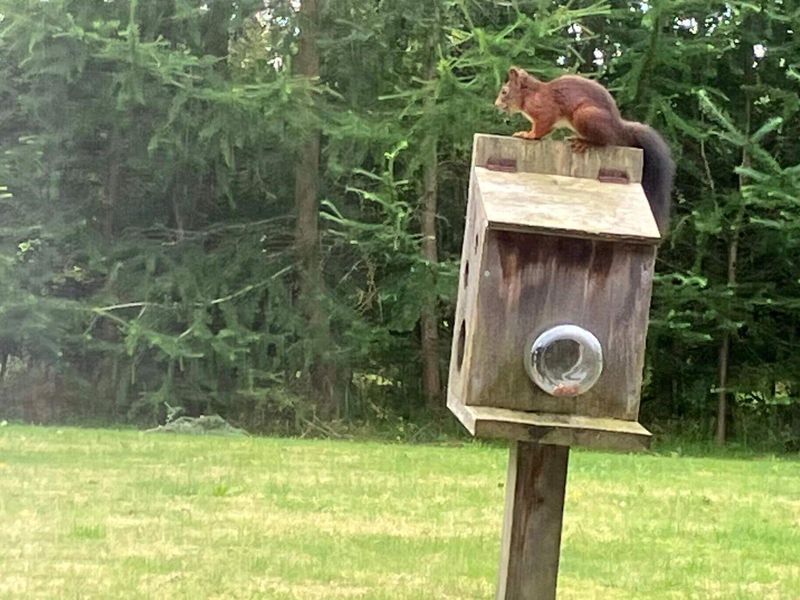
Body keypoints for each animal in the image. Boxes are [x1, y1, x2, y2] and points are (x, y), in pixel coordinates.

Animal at [494, 65, 676, 234]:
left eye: (504, 92)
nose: (496, 104)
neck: (530, 95)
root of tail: (619, 128)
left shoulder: (545, 111)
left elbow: (540, 128)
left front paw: (527, 134)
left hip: (585, 116)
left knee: (605, 141)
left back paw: (583, 142)